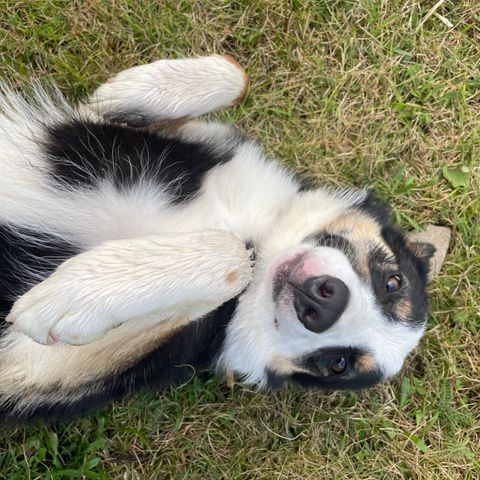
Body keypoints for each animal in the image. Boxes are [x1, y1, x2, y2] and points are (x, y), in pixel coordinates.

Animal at [0, 55, 442, 420]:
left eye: (338, 364)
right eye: (393, 282)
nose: (323, 303)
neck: (260, 237)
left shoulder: (33, 366)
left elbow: (230, 259)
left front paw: (76, 293)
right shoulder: (197, 141)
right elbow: (235, 75)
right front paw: (128, 90)